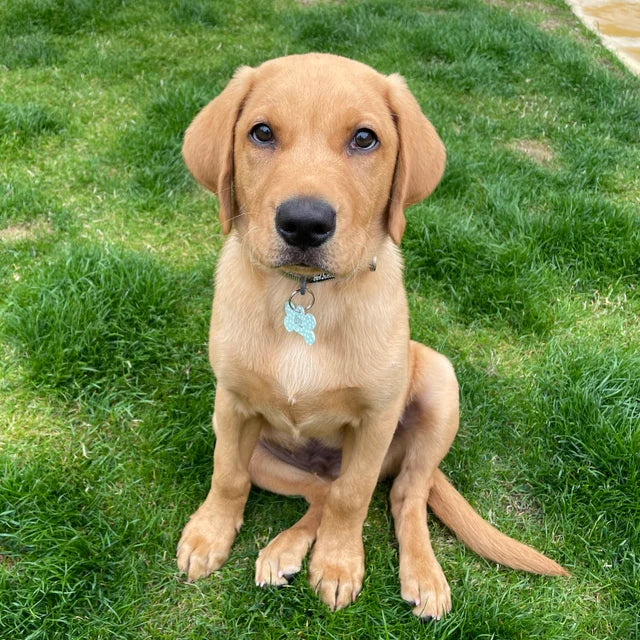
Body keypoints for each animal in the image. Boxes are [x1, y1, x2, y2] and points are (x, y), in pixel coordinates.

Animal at [174, 55, 564, 620]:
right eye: (261, 132)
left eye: (364, 138)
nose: (304, 223)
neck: (305, 293)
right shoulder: (231, 404)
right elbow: (227, 475)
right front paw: (209, 536)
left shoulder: (376, 419)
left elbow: (353, 497)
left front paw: (338, 564)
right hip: (264, 452)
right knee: (316, 490)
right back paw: (282, 552)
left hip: (437, 384)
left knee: (402, 495)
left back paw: (423, 576)